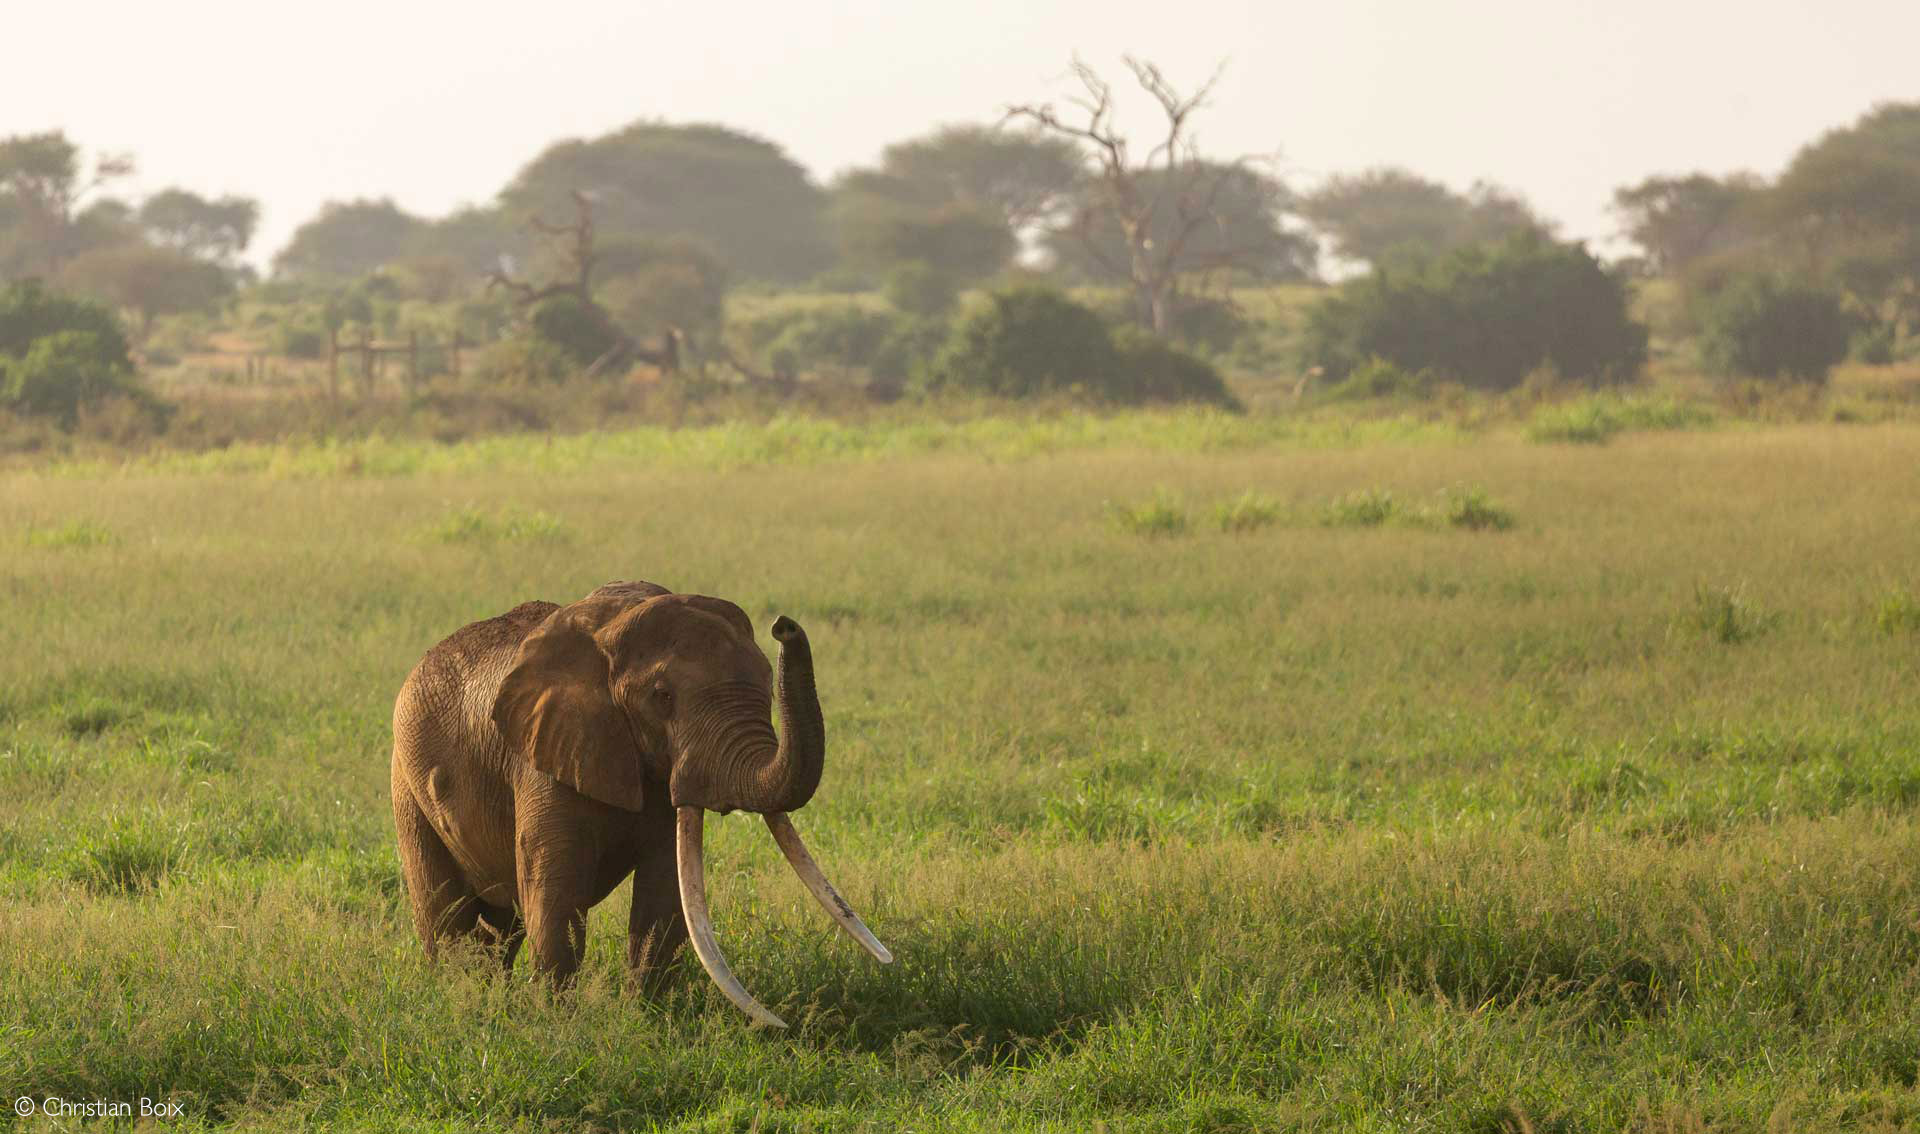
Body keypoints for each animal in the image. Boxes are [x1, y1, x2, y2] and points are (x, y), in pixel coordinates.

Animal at [401, 575, 894, 1028]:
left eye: (769, 684)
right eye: (662, 697)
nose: (784, 625)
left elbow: (663, 888)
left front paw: (645, 1017)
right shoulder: (542, 758)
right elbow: (557, 889)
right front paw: (559, 1024)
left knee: (498, 926)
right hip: (407, 782)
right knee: (446, 913)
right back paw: (459, 1002)